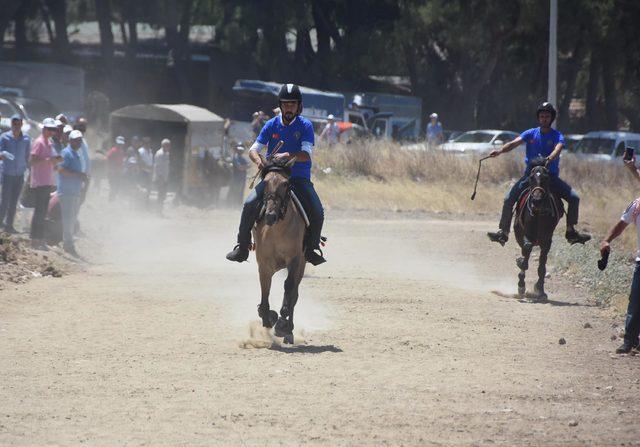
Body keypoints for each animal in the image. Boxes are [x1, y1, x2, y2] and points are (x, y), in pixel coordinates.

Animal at [252, 156, 308, 344]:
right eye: (265, 182)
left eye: (285, 183)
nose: (270, 216)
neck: (277, 229)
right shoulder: (264, 263)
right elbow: (265, 289)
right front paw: (267, 315)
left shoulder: (295, 259)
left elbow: (289, 288)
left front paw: (282, 322)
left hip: (301, 265)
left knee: (294, 293)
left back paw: (288, 330)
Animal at [512, 158, 564, 300]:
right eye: (531, 177)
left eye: (546, 178)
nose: (536, 200)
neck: (538, 213)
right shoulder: (525, 235)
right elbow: (527, 250)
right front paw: (521, 285)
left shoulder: (547, 241)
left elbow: (542, 266)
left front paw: (540, 289)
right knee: (526, 251)